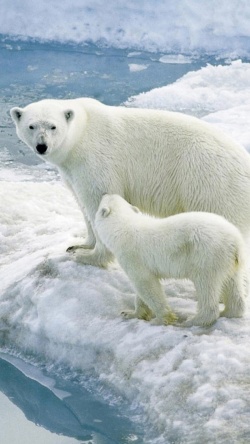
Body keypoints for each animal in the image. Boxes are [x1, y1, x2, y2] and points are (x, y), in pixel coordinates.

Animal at [11, 99, 250, 268]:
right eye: (31, 126)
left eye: (53, 126)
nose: (42, 146)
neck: (81, 133)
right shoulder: (71, 170)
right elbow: (81, 203)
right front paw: (78, 244)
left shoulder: (95, 160)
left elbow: (98, 199)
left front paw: (88, 256)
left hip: (209, 182)